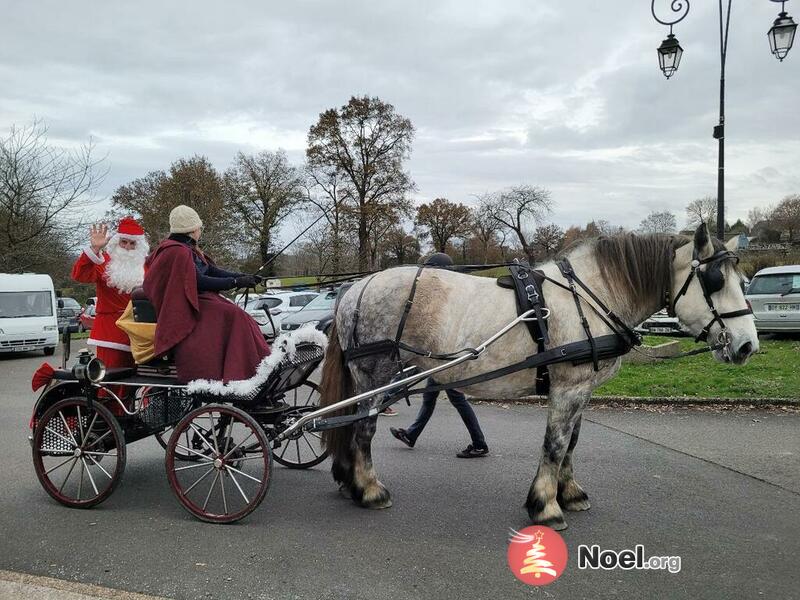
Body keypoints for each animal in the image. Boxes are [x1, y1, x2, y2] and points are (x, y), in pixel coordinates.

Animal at [318, 225, 756, 528]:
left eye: (742, 280)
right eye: (715, 281)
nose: (748, 346)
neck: (591, 295)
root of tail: (356, 287)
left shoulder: (580, 389)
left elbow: (572, 443)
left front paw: (570, 493)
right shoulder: (568, 388)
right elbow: (555, 444)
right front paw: (546, 506)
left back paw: (347, 479)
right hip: (376, 377)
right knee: (362, 429)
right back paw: (370, 490)